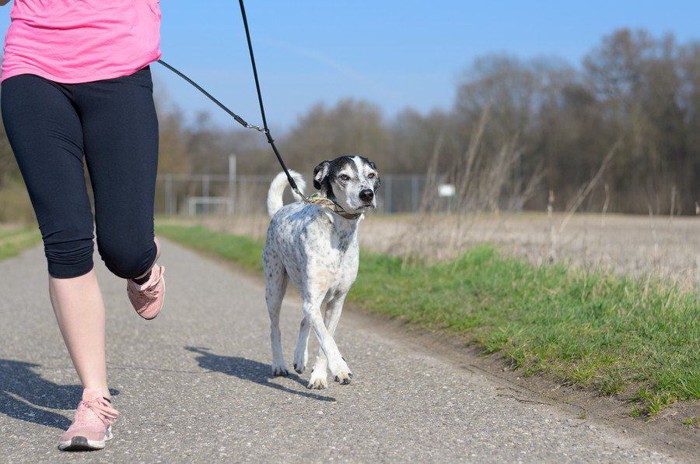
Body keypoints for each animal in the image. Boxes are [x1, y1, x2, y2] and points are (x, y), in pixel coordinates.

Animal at [264, 155, 382, 388]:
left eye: (371, 174)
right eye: (344, 177)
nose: (367, 194)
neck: (339, 233)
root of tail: (279, 211)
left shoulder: (336, 302)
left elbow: (324, 340)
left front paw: (319, 375)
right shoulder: (312, 300)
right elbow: (327, 340)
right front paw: (339, 367)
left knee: (305, 321)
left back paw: (300, 358)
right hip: (274, 290)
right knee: (275, 329)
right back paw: (279, 364)